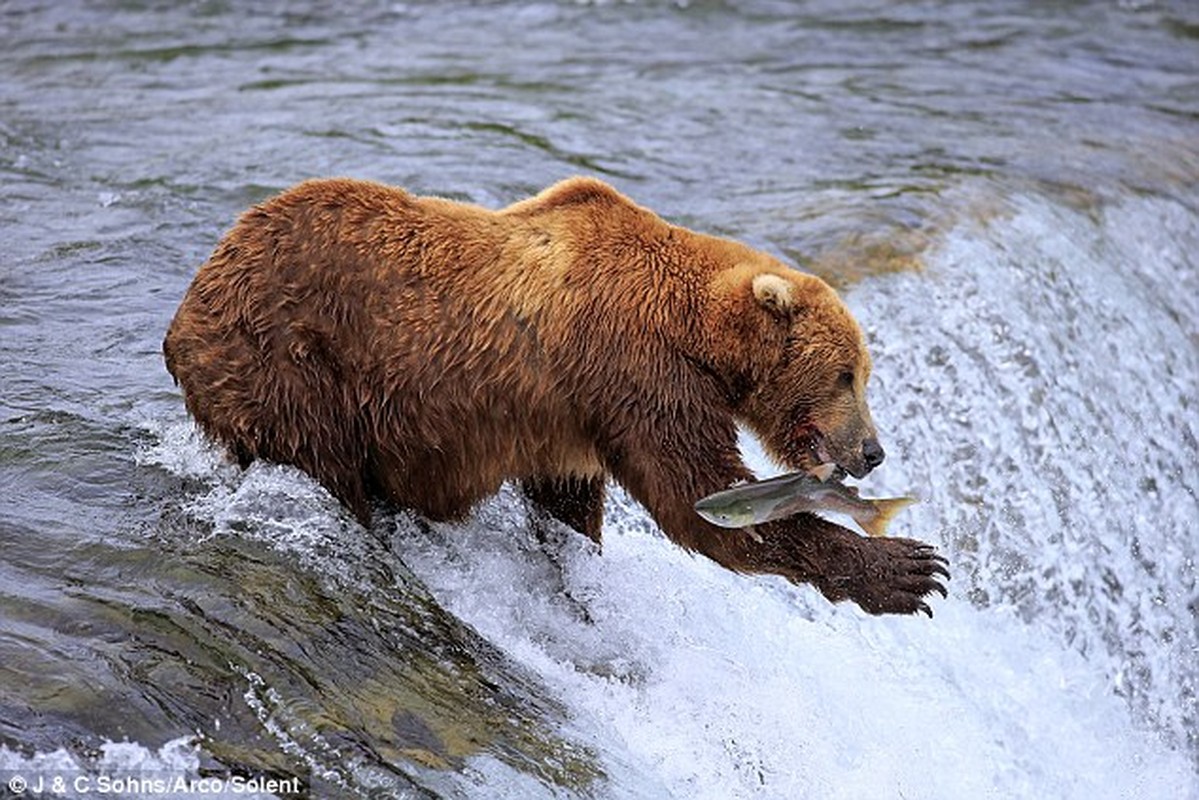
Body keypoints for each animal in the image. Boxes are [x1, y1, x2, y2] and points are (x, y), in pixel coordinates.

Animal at [164, 176, 944, 614]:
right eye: (847, 373)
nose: (872, 451)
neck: (695, 330)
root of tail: (190, 300)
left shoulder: (568, 418)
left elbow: (571, 499)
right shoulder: (635, 370)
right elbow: (699, 500)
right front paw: (907, 570)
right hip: (289, 358)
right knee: (322, 458)